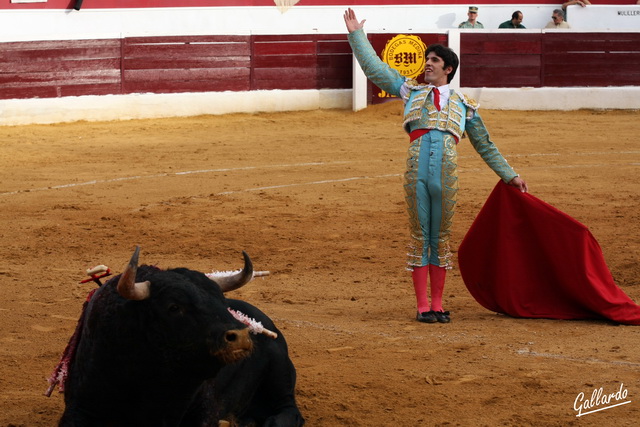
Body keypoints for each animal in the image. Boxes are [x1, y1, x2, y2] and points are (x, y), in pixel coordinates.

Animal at [53, 249, 304, 426]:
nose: (241, 336)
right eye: (173, 307)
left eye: (221, 300)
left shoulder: (203, 411)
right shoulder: (79, 408)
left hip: (279, 370)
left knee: (289, 409)